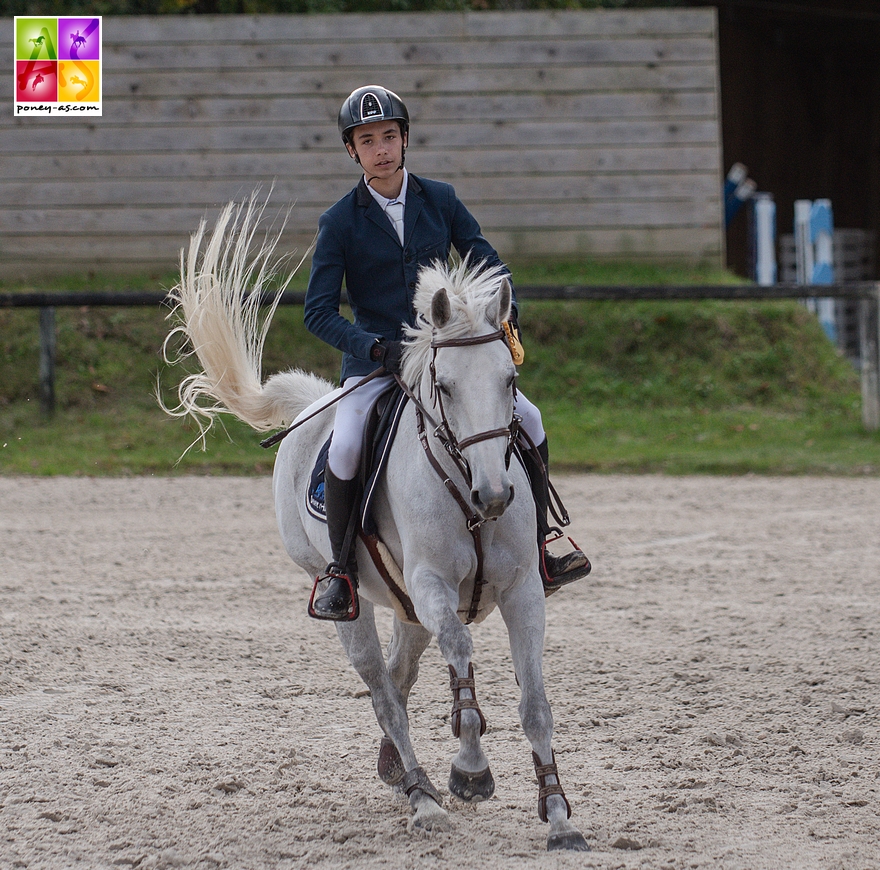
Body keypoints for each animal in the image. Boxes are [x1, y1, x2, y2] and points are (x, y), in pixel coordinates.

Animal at [163, 196, 592, 852]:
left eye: (510, 381)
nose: (493, 496)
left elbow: (535, 704)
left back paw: (399, 770)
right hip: (352, 600)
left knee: (399, 676)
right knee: (383, 690)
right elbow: (460, 654)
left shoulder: (523, 591)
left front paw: (559, 815)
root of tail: (316, 401)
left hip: (406, 607)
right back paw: (424, 799)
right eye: (444, 386)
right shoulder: (432, 585)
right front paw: (470, 770)